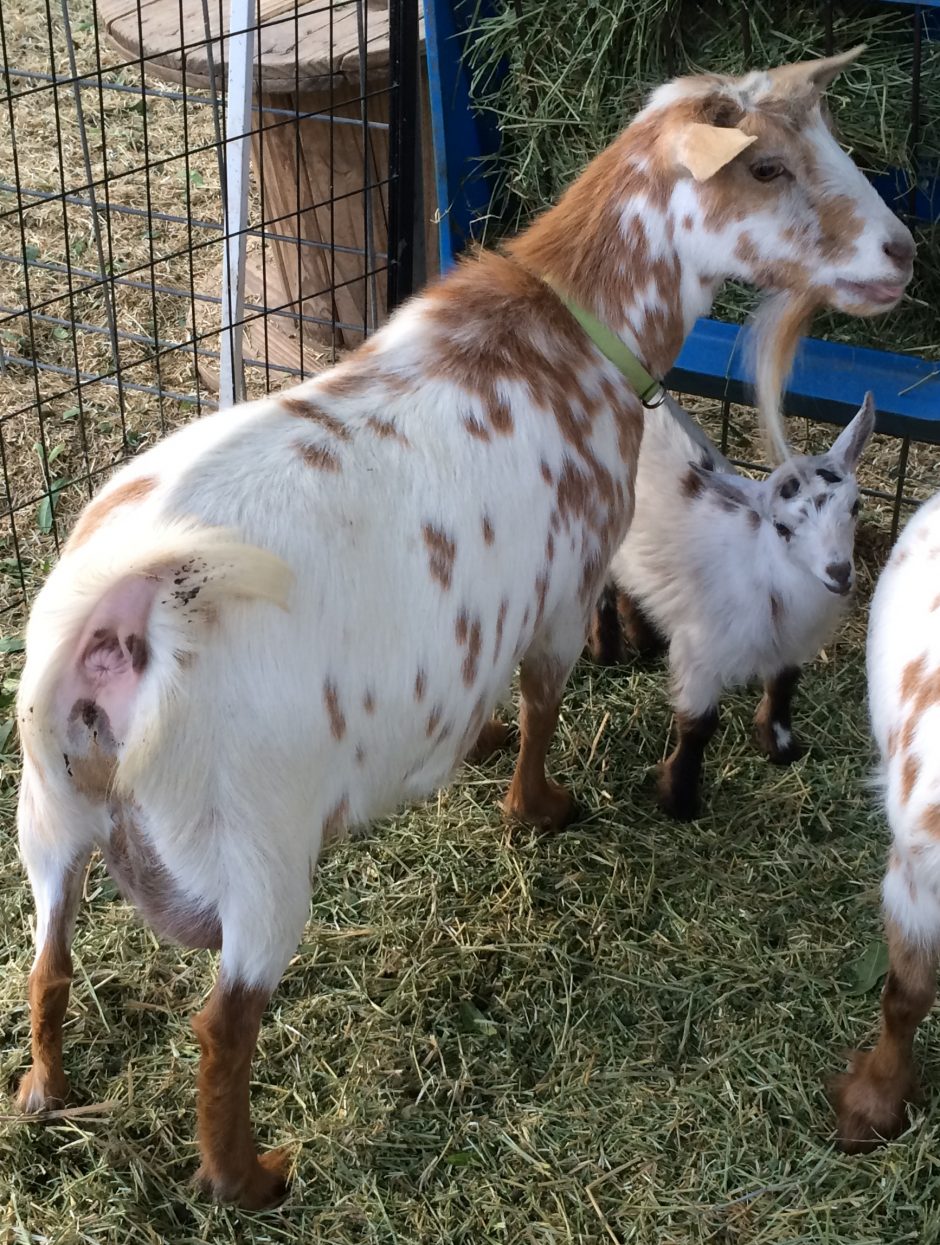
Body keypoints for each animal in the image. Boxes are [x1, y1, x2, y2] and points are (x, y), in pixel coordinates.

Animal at [591, 393, 875, 820]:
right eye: (782, 528)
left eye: (855, 506)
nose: (839, 572)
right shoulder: (700, 653)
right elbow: (698, 725)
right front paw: (679, 800)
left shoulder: (789, 644)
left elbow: (782, 686)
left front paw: (780, 746)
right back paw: (607, 653)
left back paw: (644, 640)